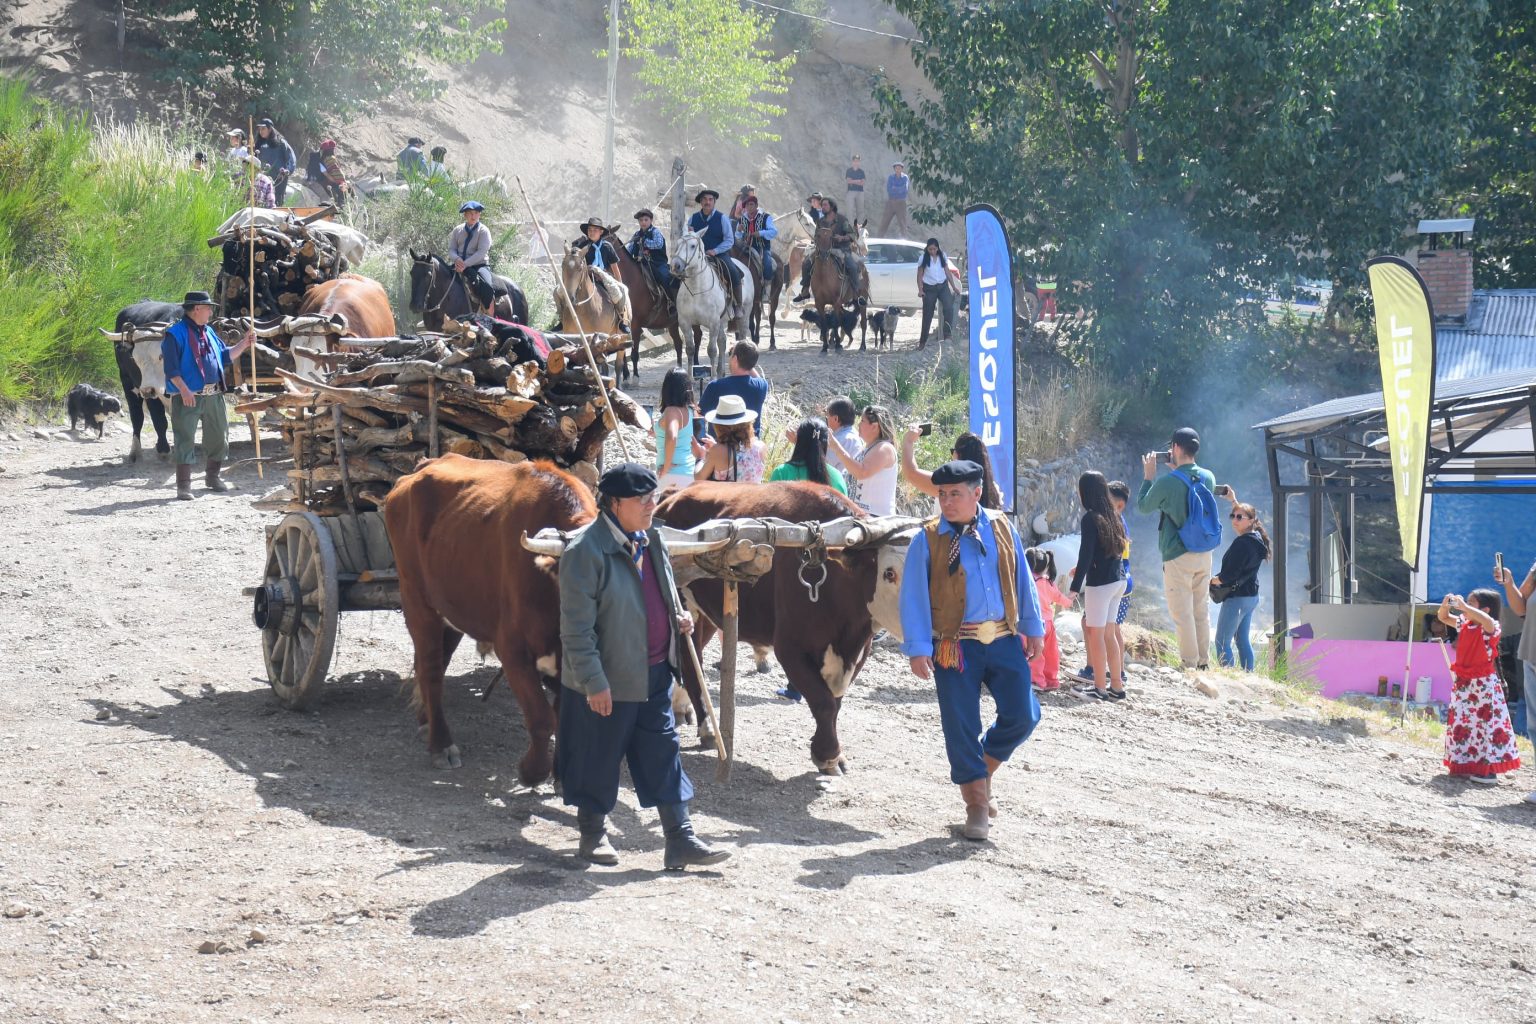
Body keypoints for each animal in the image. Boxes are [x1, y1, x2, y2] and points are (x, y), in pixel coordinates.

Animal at [611, 242, 685, 382]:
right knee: (678, 344)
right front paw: (626, 375)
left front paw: (635, 376)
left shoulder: (635, 326)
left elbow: (634, 353)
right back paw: (678, 369)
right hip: (672, 324)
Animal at [672, 230, 755, 379]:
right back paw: (721, 371)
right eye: (678, 243)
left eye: (693, 246)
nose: (675, 265)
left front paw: (712, 378)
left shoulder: (713, 322)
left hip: (744, 315)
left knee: (741, 337)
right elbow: (690, 349)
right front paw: (690, 378)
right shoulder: (685, 322)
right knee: (722, 342)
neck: (696, 290)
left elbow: (711, 350)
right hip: (722, 321)